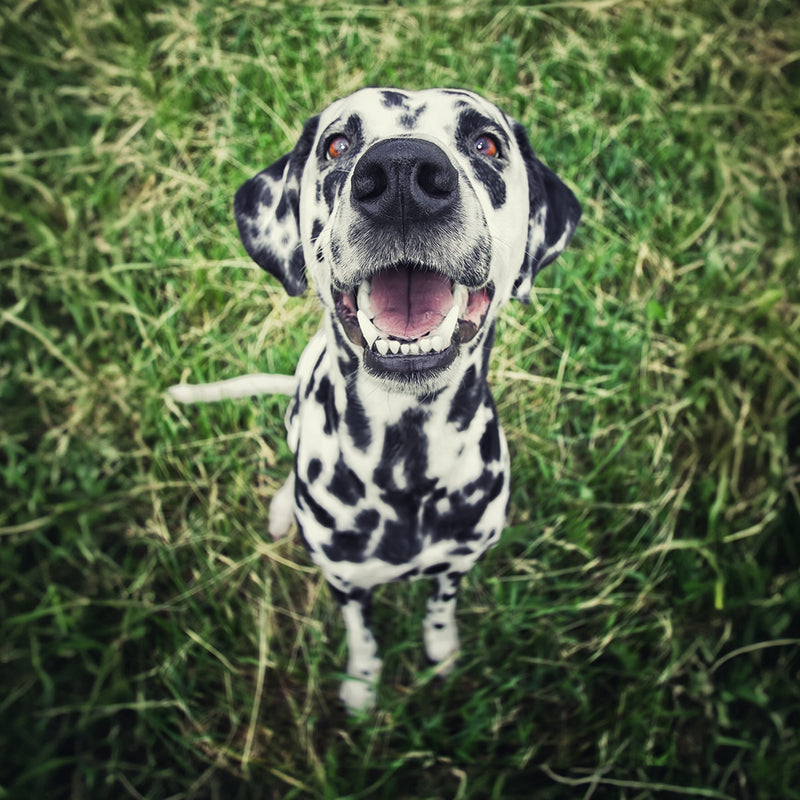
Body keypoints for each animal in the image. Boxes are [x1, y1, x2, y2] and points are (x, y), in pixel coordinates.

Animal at [170, 89, 580, 712]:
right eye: (338, 144)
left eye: (486, 143)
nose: (404, 174)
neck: (405, 462)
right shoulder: (345, 580)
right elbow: (360, 632)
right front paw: (362, 683)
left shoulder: (457, 563)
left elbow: (440, 606)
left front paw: (441, 648)